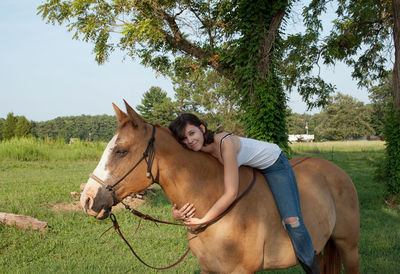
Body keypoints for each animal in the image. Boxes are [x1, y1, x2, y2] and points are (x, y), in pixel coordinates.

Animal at [79, 101, 360, 274]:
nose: (87, 200)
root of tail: (338, 173)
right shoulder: (209, 269)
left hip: (348, 247)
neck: (212, 203)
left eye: (121, 150)